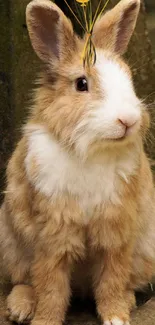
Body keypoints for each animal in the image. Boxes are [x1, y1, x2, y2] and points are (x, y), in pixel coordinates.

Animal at [0, 0, 154, 322]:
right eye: (81, 84)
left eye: (129, 79)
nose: (128, 120)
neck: (92, 149)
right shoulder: (53, 231)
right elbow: (51, 284)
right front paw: (44, 320)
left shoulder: (115, 228)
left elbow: (112, 277)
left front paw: (116, 316)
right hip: (11, 245)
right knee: (24, 280)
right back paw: (20, 308)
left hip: (145, 250)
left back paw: (129, 301)